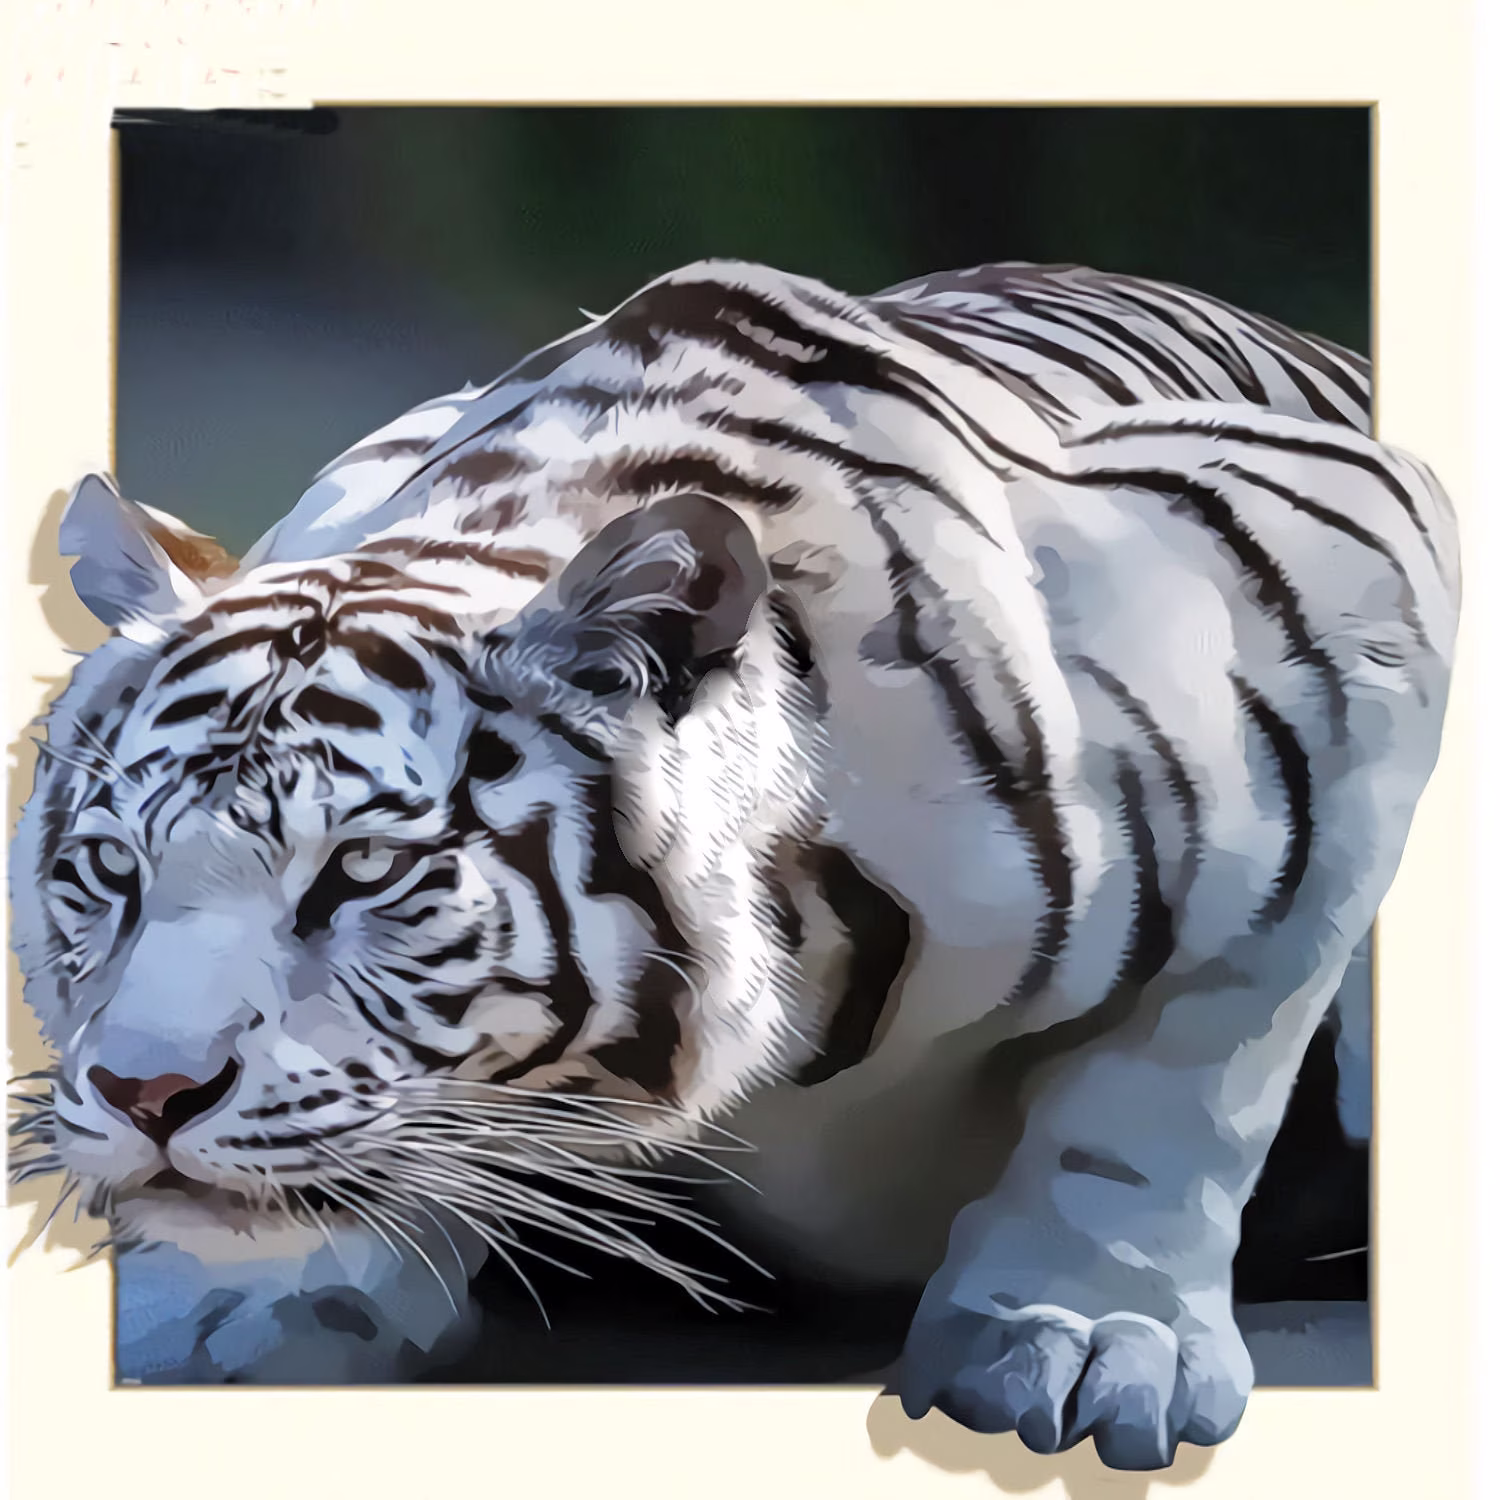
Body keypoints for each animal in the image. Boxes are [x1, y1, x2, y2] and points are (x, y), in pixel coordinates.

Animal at [10, 259, 1458, 1469]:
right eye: (110, 869)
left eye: (363, 872)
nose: (146, 1097)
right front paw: (247, 1291)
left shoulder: (1355, 592)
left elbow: (1177, 1078)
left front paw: (1084, 1337)